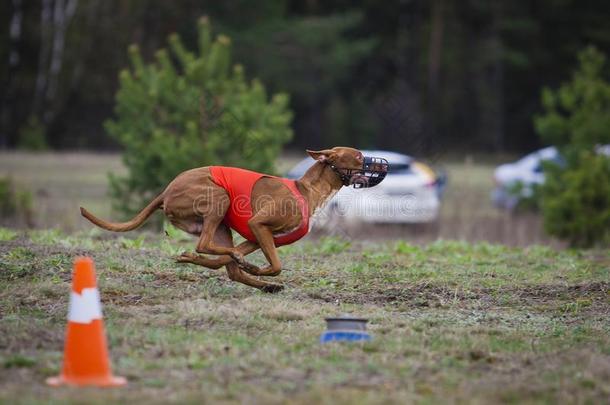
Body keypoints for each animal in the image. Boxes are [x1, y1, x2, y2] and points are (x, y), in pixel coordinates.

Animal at [81, 147, 388, 292]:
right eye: (359, 156)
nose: (384, 164)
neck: (306, 190)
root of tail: (165, 191)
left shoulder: (255, 237)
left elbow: (234, 264)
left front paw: (253, 270)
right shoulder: (258, 226)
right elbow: (275, 265)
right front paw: (258, 269)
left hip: (222, 226)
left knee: (223, 261)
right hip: (218, 198)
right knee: (207, 246)